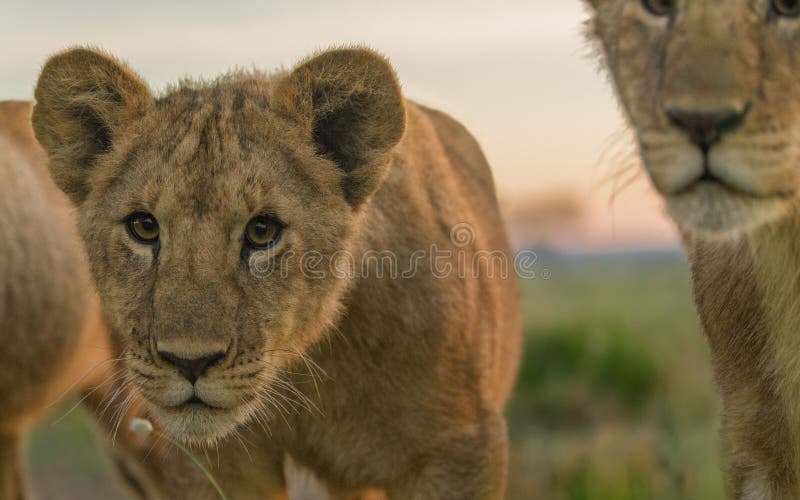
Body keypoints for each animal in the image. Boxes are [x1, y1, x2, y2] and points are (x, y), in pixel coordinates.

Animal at [31, 46, 521, 499]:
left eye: (262, 230)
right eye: (144, 227)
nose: (190, 363)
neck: (309, 362)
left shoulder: (460, 448)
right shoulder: (220, 462)